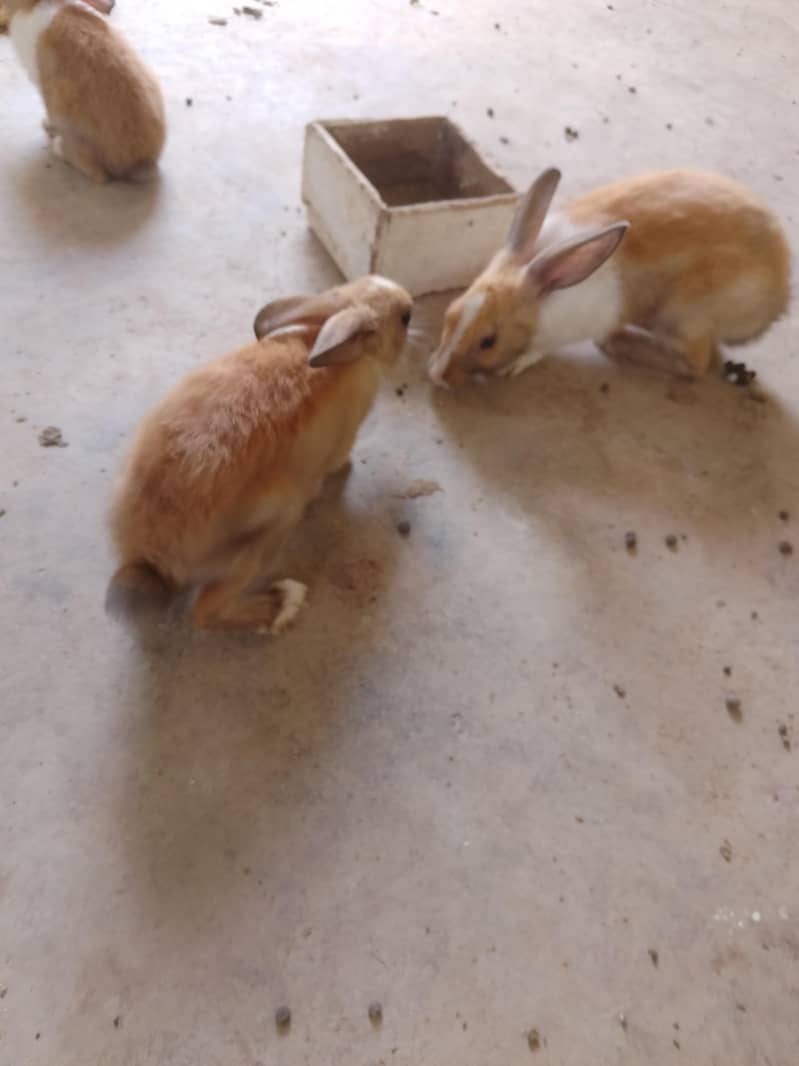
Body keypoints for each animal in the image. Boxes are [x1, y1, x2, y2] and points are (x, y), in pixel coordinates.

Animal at [106, 276, 414, 634]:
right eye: (405, 318)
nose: (410, 307)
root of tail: (149, 557)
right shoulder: (344, 440)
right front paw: (345, 469)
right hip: (268, 531)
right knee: (205, 612)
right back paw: (280, 606)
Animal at [429, 168, 790, 387]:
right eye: (450, 313)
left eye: (488, 341)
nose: (437, 375)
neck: (544, 300)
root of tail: (777, 303)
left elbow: (540, 350)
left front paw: (515, 365)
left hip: (686, 315)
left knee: (699, 364)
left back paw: (621, 344)